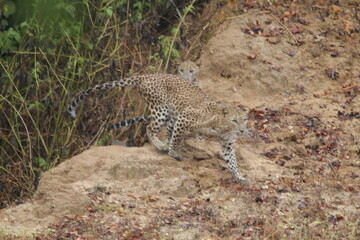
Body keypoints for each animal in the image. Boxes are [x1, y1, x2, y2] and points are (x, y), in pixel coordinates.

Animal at [67, 73, 249, 184]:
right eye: (234, 120)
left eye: (244, 121)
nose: (241, 131)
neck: (222, 128)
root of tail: (147, 75)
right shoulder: (185, 116)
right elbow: (177, 137)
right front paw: (174, 152)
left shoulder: (227, 143)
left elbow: (232, 160)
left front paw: (239, 176)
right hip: (161, 109)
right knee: (150, 129)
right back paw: (162, 146)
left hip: (170, 115)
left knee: (166, 131)